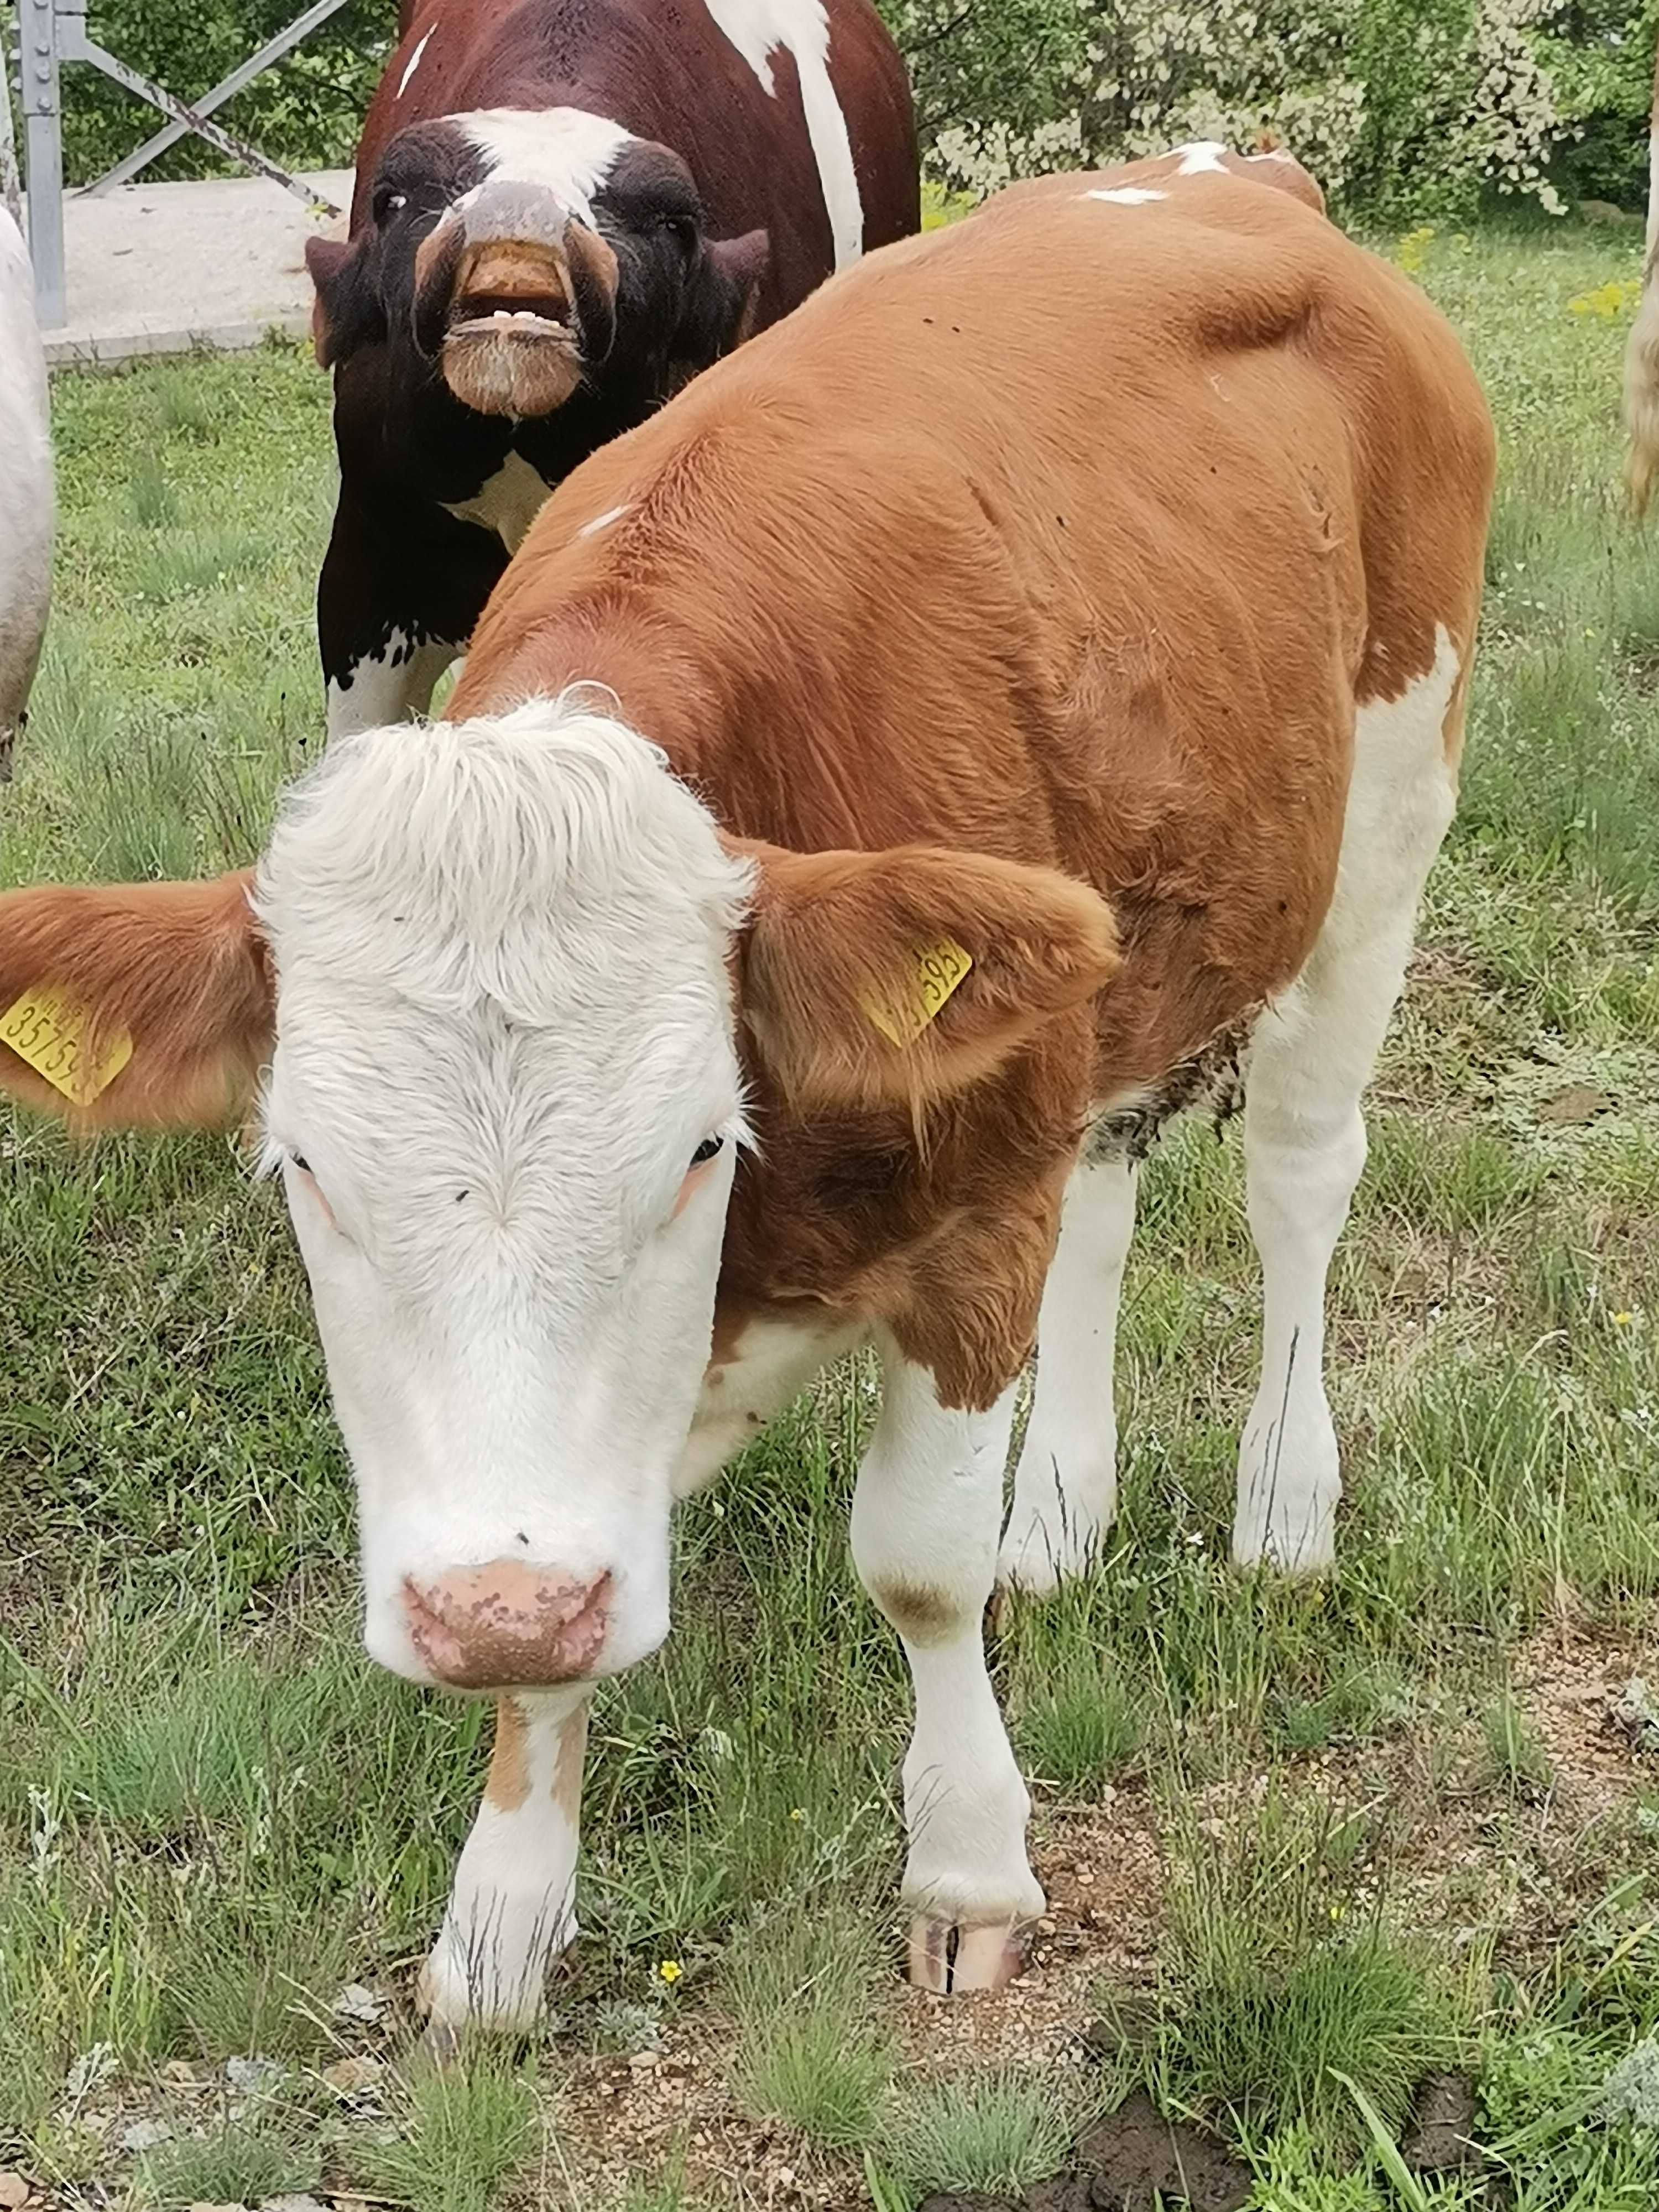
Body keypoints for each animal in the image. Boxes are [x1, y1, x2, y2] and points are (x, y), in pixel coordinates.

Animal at [0, 147, 1504, 2026]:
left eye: (703, 1145)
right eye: (300, 1174)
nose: (484, 1613)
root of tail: (1238, 175)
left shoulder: (969, 1208)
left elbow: (917, 1565)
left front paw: (967, 1864)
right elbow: (570, 1605)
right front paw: (503, 1905)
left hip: (1387, 817)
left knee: (1301, 1171)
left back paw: (1284, 1503)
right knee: (1108, 1182)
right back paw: (1061, 1506)